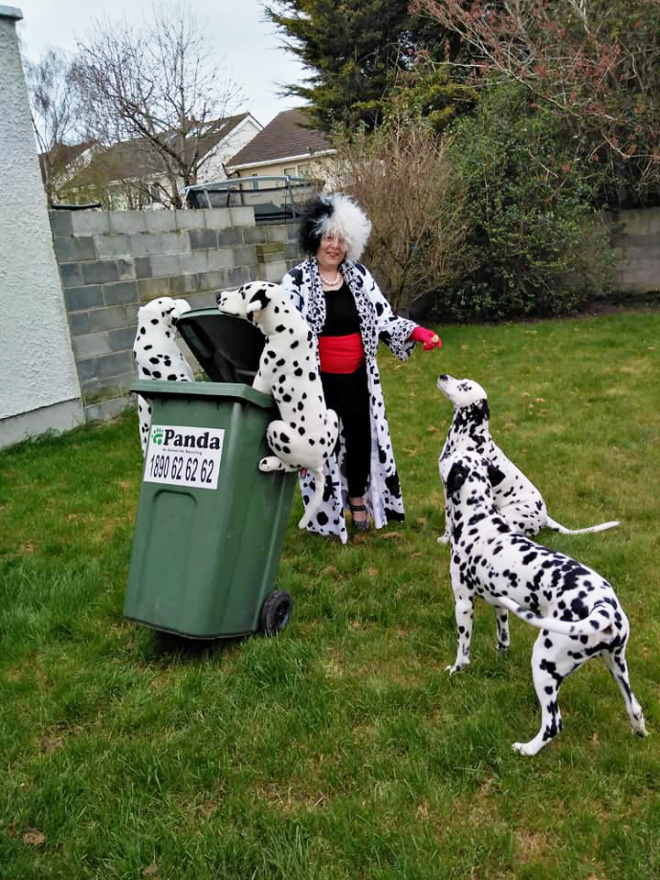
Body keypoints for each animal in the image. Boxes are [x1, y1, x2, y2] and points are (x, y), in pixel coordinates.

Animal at [217, 284, 340, 528]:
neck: (288, 327)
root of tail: (319, 463)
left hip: (277, 430)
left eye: (242, 292)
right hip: (332, 414)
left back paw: (269, 462)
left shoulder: (261, 382)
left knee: (292, 465)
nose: (218, 296)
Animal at [438, 372, 620, 544]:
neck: (467, 436)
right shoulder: (447, 490)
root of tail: (545, 517)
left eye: (464, 386)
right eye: (462, 380)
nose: (442, 376)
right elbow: (448, 519)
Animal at [438, 450, 644, 752]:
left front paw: (456, 670)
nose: (443, 453)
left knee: (553, 723)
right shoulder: (500, 606)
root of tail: (603, 608)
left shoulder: (463, 603)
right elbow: (503, 638)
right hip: (616, 665)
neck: (479, 522)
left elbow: (462, 650)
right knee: (636, 709)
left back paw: (527, 749)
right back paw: (639, 731)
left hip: (544, 664)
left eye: (452, 458)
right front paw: (500, 655)